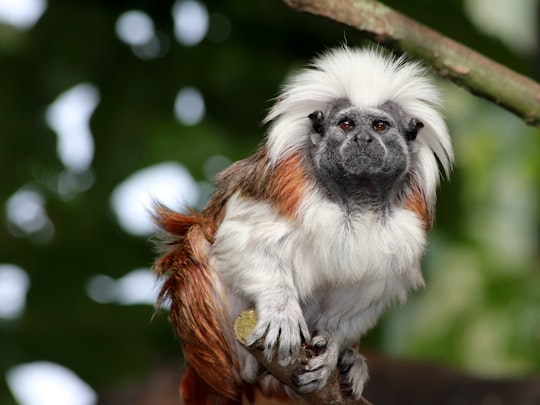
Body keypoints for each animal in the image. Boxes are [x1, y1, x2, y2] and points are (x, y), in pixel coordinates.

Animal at [154, 46, 454, 400]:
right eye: (347, 124)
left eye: (380, 126)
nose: (363, 139)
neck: (356, 198)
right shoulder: (285, 180)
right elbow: (243, 239)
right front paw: (281, 311)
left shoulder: (412, 215)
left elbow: (369, 285)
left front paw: (334, 345)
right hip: (212, 346)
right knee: (199, 241)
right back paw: (250, 367)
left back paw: (350, 362)